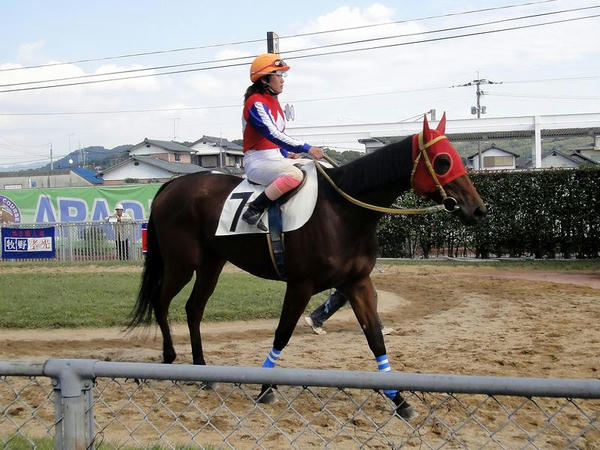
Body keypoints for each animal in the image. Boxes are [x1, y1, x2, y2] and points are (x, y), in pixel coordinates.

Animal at [129, 115, 486, 418]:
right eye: (443, 161)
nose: (478, 209)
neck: (341, 210)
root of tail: (171, 185)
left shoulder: (357, 282)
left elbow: (374, 337)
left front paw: (399, 399)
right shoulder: (300, 285)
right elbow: (282, 333)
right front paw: (266, 387)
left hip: (211, 264)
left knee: (193, 309)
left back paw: (202, 370)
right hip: (181, 264)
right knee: (162, 302)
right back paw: (169, 359)